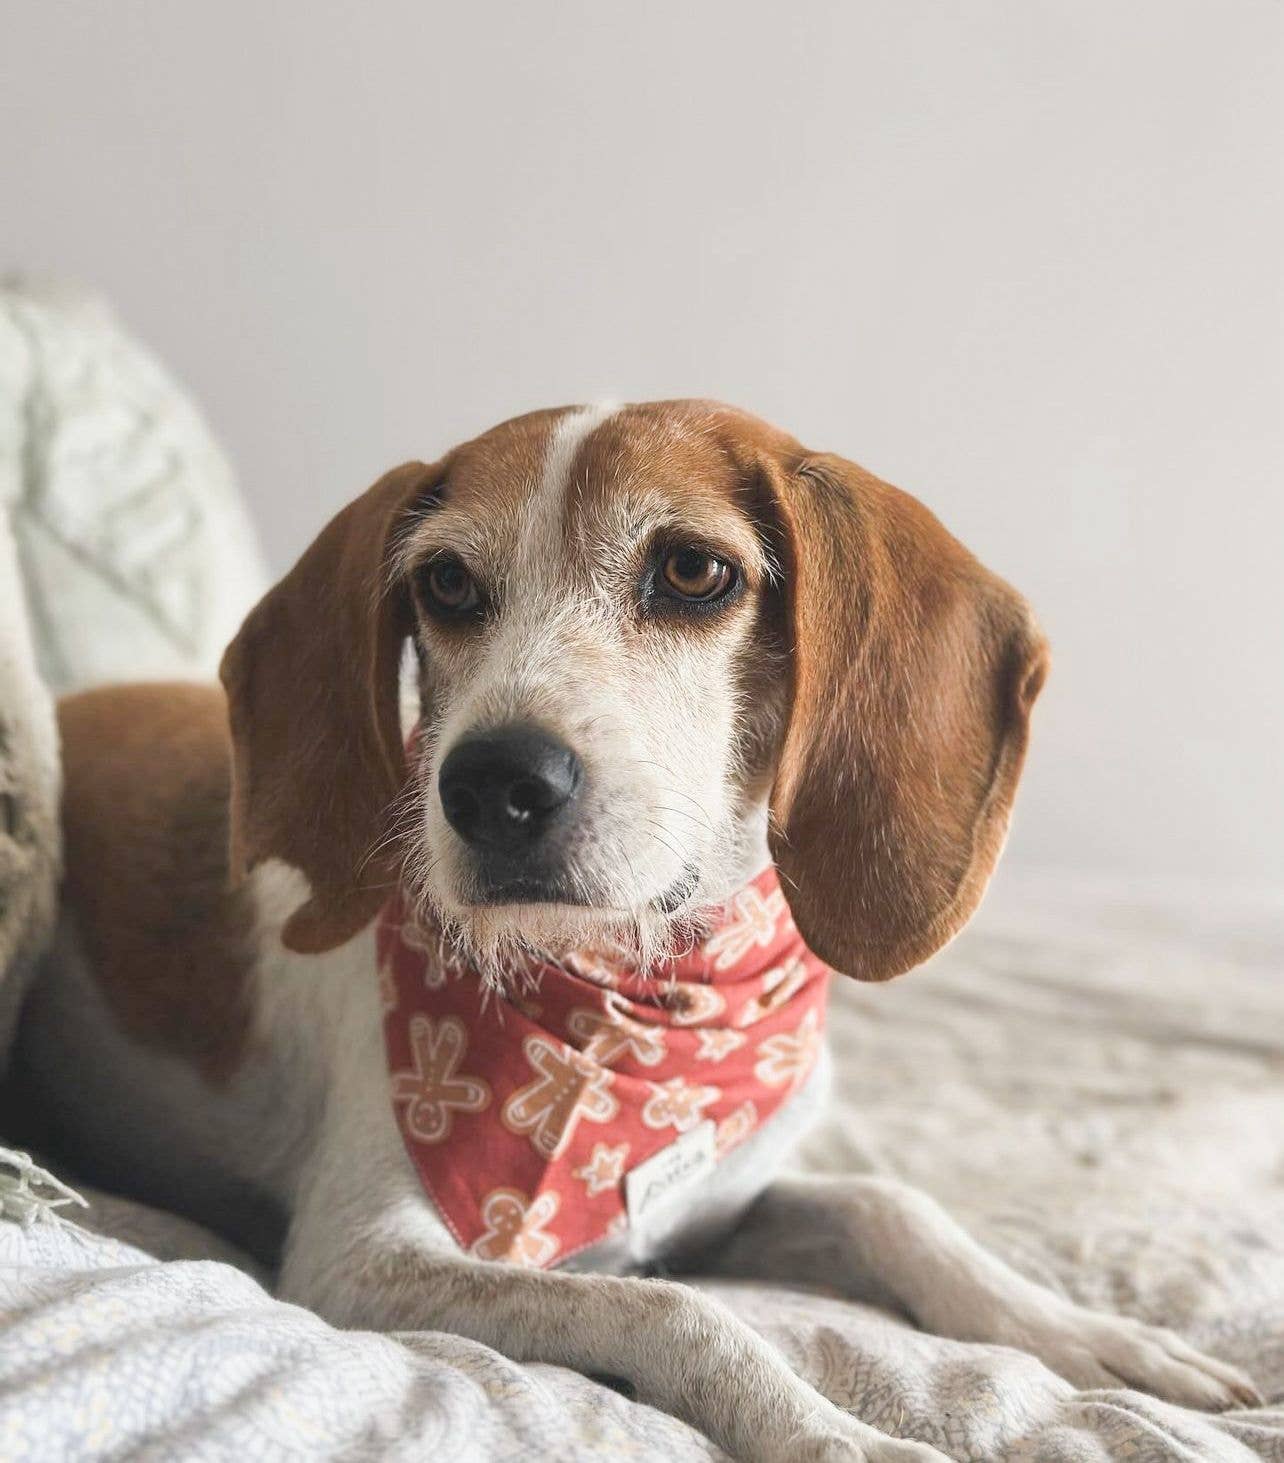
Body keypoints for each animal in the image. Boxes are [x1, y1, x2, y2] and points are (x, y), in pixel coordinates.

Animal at [12, 403, 1257, 1463]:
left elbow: (888, 1202)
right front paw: (829, 1432)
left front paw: (1084, 1331)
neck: (655, 988)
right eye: (447, 582)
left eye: (694, 570)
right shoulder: (361, 1260)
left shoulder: (724, 1202)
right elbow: (675, 1308)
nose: (491, 783)